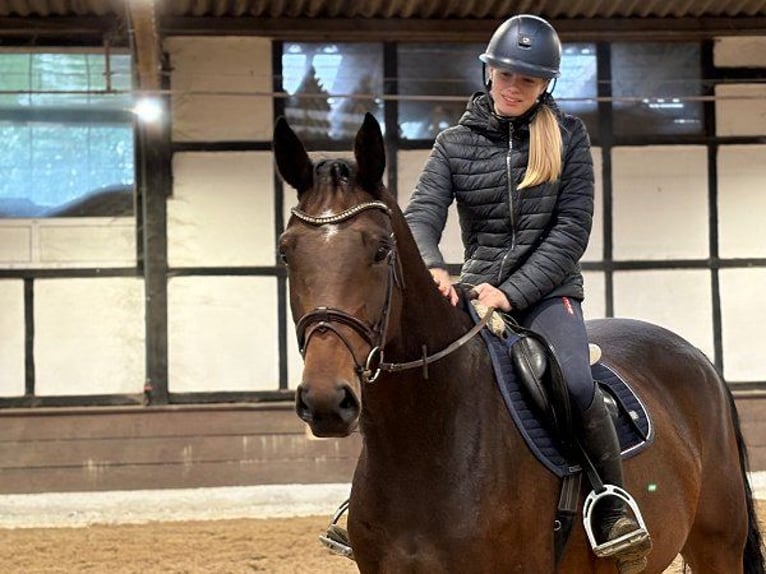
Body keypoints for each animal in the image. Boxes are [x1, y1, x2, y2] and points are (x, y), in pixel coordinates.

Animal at [274, 112, 765, 573]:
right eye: (286, 251)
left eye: (380, 250)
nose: (325, 400)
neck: (425, 438)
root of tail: (699, 359)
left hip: (717, 547)